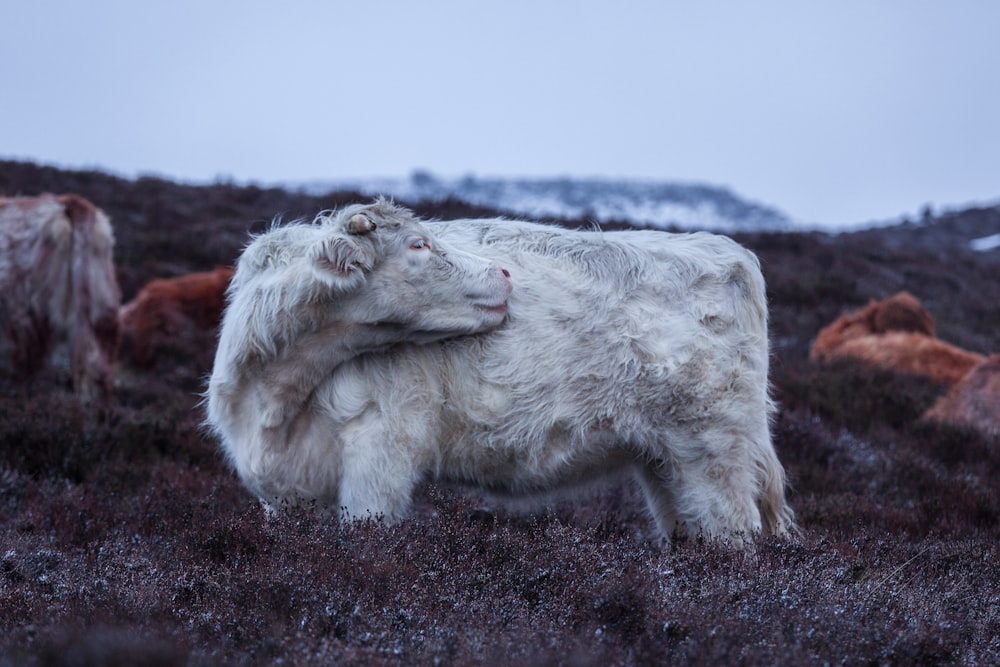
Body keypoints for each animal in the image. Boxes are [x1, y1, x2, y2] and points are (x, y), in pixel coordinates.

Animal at [207, 198, 792, 544]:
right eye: (418, 244)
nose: (503, 274)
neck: (276, 396)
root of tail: (725, 249)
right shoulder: (283, 492)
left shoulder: (381, 452)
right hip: (666, 461)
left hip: (715, 450)